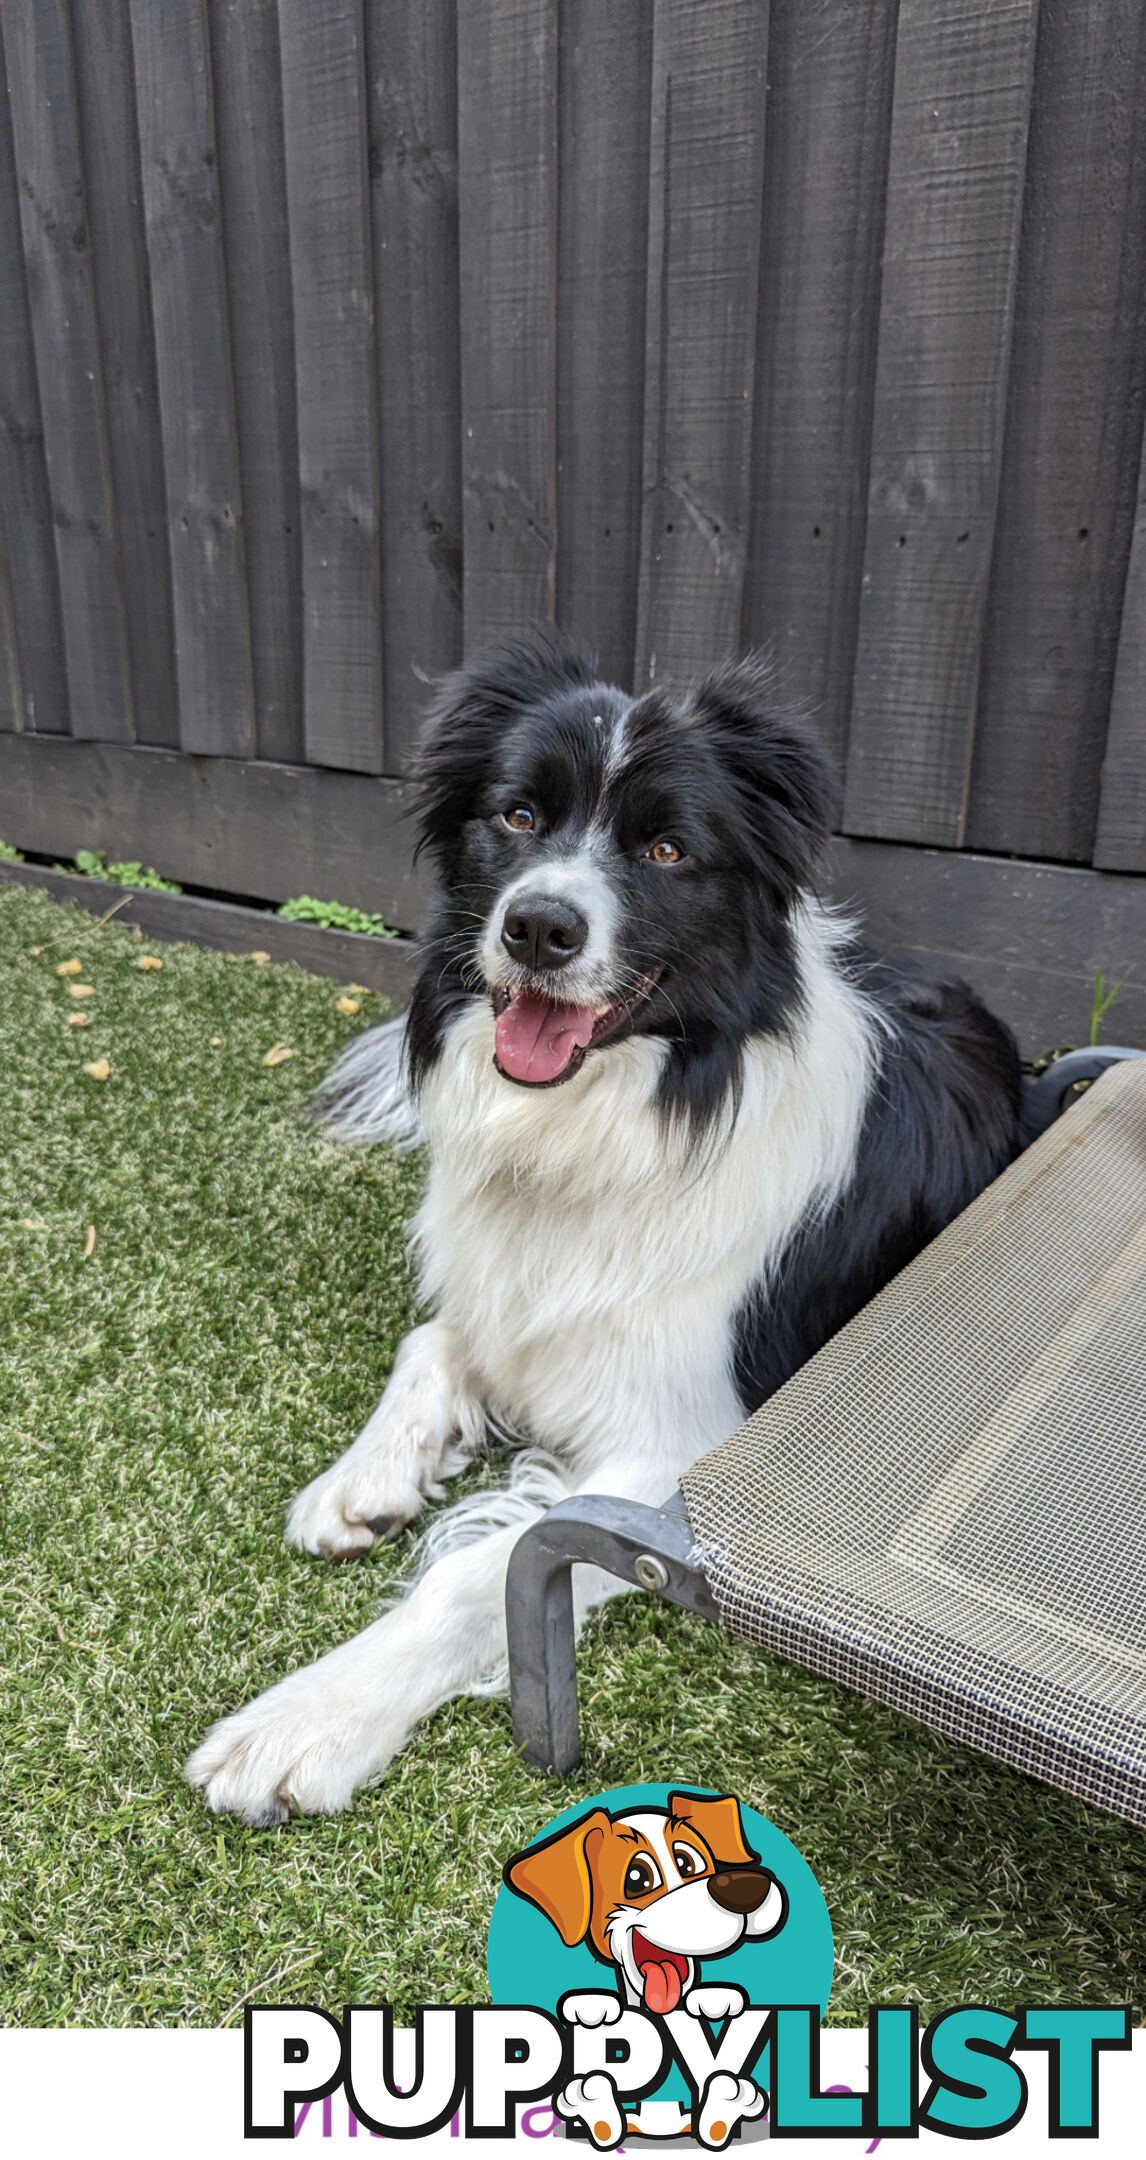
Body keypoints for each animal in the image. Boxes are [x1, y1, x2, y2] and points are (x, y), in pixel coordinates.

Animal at [188, 635, 1022, 1823]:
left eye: (669, 848)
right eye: (519, 815)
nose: (540, 926)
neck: (597, 1128)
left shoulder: (691, 1449)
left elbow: (477, 1570)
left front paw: (305, 1723)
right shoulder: (506, 1293)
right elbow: (433, 1339)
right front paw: (365, 1481)